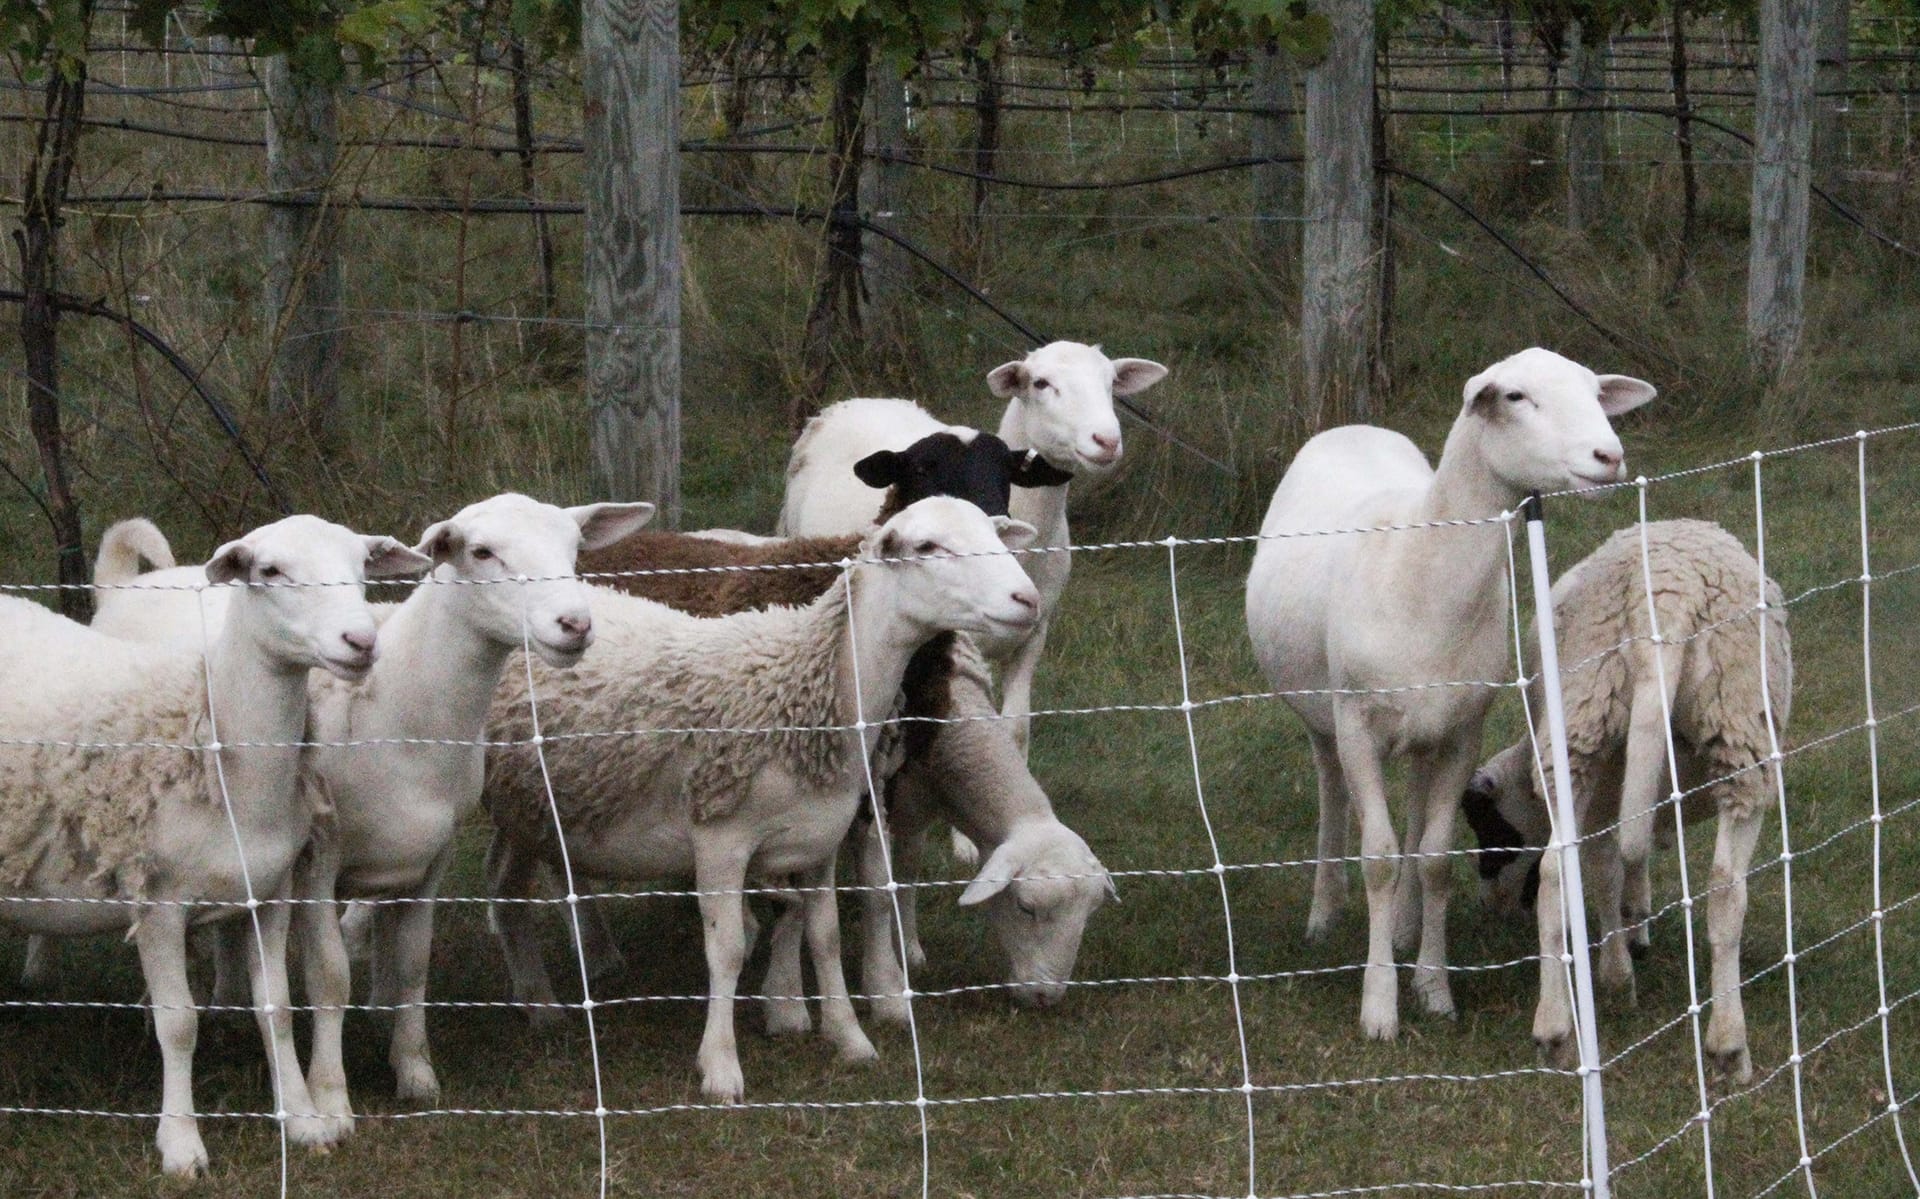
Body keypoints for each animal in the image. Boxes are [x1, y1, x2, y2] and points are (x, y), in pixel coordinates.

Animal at [0, 514, 429, 1177]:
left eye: (362, 565)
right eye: (270, 571)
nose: (360, 641)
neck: (217, 741)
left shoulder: (271, 893)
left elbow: (277, 1008)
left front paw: (303, 1121)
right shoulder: (157, 903)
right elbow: (178, 1025)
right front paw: (181, 1144)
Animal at [483, 496, 1042, 1102]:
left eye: (995, 533)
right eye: (927, 546)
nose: (1028, 599)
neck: (809, 686)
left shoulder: (820, 839)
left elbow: (824, 936)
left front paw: (849, 1038)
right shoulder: (719, 839)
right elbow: (726, 951)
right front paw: (720, 1067)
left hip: (524, 801)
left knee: (503, 884)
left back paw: (539, 1003)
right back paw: (546, 998)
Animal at [1244, 347, 1656, 1041]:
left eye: (1594, 391)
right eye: (1515, 396)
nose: (1609, 455)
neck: (1420, 565)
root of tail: (1353, 426)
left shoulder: (1464, 728)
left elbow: (1434, 857)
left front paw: (1433, 988)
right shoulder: (1358, 724)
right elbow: (1378, 857)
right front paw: (1379, 1007)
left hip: (1426, 729)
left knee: (1412, 813)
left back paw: (1405, 928)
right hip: (1322, 714)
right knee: (1332, 794)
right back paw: (1325, 914)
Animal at [1461, 519, 1789, 1082]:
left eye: (1492, 835)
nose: (1494, 908)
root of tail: (1665, 596)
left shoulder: (1612, 785)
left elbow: (1608, 869)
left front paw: (1626, 947)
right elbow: (1614, 866)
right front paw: (1623, 961)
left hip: (1581, 727)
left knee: (1555, 873)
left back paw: (1555, 1033)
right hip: (1739, 728)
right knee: (1725, 887)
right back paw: (1729, 1047)